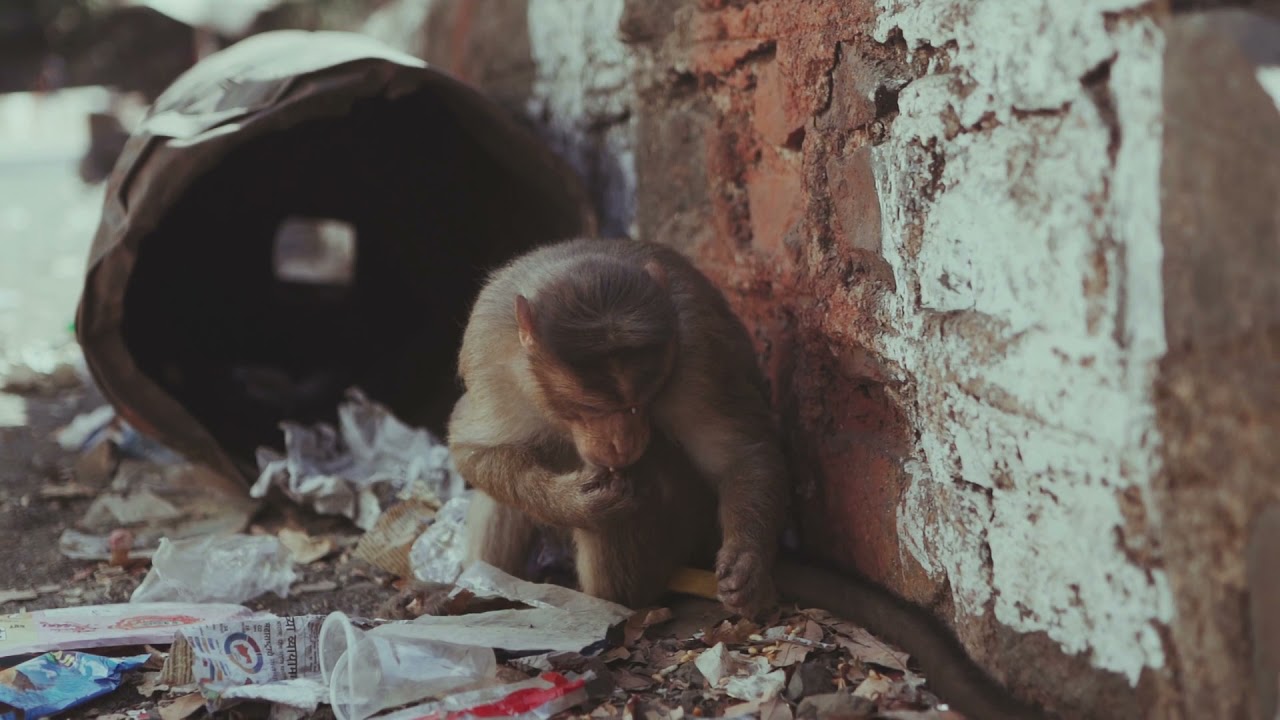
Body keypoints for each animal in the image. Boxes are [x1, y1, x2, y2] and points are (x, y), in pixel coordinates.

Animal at [446, 237, 1045, 720]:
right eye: (592, 406)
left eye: (639, 401)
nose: (620, 440)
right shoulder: (492, 357)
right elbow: (473, 449)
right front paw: (578, 501)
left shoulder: (691, 355)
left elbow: (737, 451)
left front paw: (748, 566)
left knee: (646, 477)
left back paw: (617, 598)